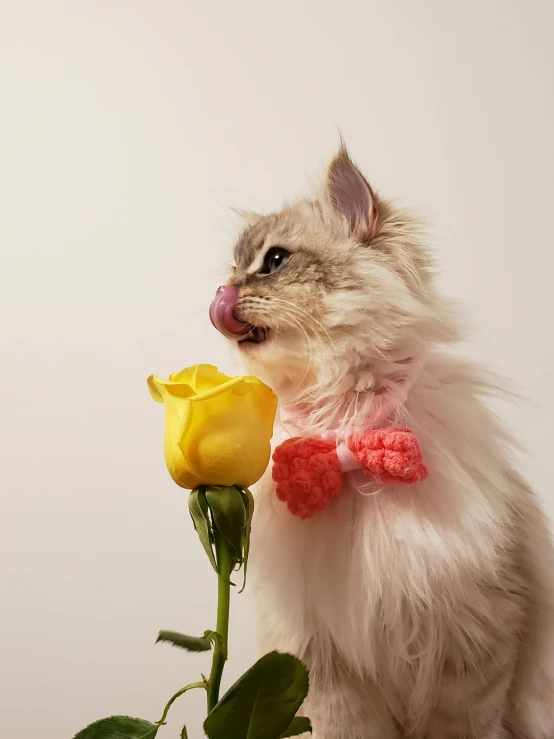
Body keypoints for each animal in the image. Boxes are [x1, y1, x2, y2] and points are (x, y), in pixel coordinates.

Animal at [210, 147, 552, 736]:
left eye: (274, 262)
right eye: (233, 268)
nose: (222, 295)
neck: (349, 431)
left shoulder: (476, 647)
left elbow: (464, 724)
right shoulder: (324, 669)